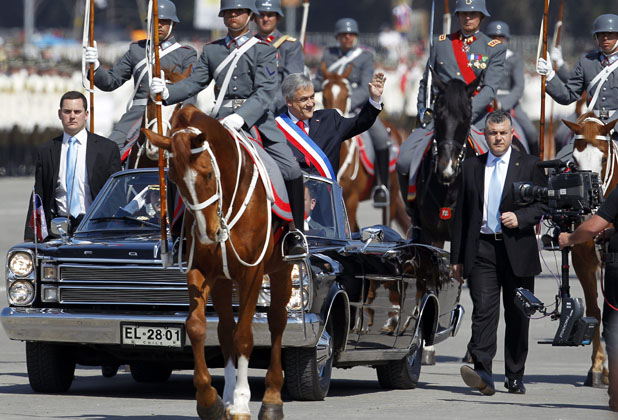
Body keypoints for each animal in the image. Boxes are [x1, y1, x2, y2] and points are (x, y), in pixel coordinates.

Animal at [142, 105, 292, 420]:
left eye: (208, 174)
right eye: (174, 180)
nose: (208, 234)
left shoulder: (252, 273)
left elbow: (244, 336)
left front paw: (243, 402)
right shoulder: (200, 271)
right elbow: (198, 327)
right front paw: (210, 400)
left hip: (281, 270)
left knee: (276, 321)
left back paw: (272, 397)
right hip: (223, 281)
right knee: (224, 329)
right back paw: (227, 395)